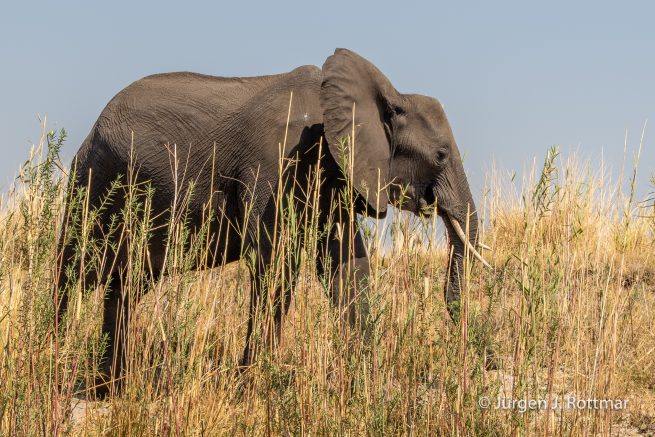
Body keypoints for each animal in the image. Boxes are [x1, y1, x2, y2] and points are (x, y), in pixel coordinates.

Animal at [56, 48, 491, 395]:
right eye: (440, 155)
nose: (474, 354)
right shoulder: (276, 162)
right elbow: (276, 262)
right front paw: (251, 390)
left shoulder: (333, 173)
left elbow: (345, 265)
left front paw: (366, 385)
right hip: (93, 181)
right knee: (73, 273)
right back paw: (57, 368)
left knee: (126, 285)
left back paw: (109, 391)